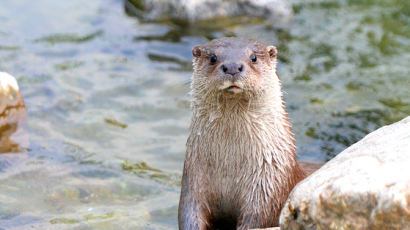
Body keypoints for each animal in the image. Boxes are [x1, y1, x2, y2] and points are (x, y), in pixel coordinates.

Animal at [179, 38, 324, 230]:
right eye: (213, 58)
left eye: (253, 57)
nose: (232, 67)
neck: (230, 165)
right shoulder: (193, 182)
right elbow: (189, 214)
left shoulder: (267, 190)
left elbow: (256, 219)